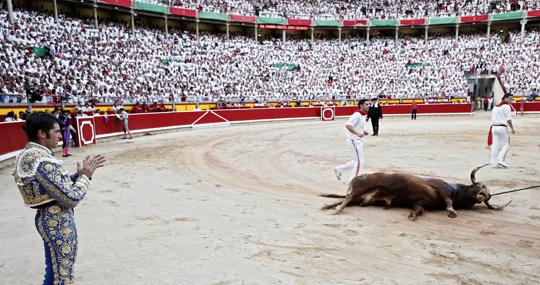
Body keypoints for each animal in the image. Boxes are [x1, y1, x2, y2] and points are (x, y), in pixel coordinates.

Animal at [320, 163, 510, 219]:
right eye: (480, 186)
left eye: (488, 194)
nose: (485, 195)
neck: (457, 191)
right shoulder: (441, 188)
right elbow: (448, 201)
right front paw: (451, 211)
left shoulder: (421, 203)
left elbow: (418, 209)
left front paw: (412, 215)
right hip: (360, 189)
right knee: (346, 198)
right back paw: (337, 210)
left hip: (360, 198)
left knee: (344, 199)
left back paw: (328, 206)